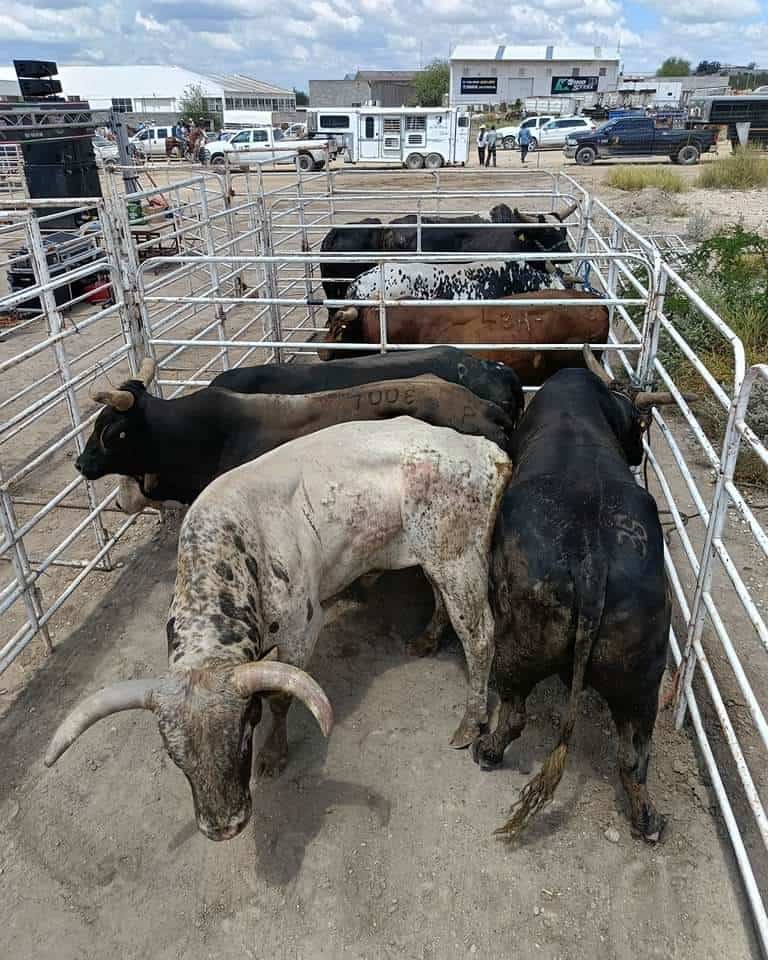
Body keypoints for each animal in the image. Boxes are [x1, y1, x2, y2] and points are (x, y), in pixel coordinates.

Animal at [49, 420, 516, 840]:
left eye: (242, 740)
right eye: (174, 757)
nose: (223, 827)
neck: (231, 554)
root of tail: (482, 450)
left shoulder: (301, 630)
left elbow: (279, 697)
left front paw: (274, 755)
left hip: (458, 559)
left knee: (478, 635)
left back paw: (471, 722)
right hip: (433, 556)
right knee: (442, 600)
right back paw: (426, 639)